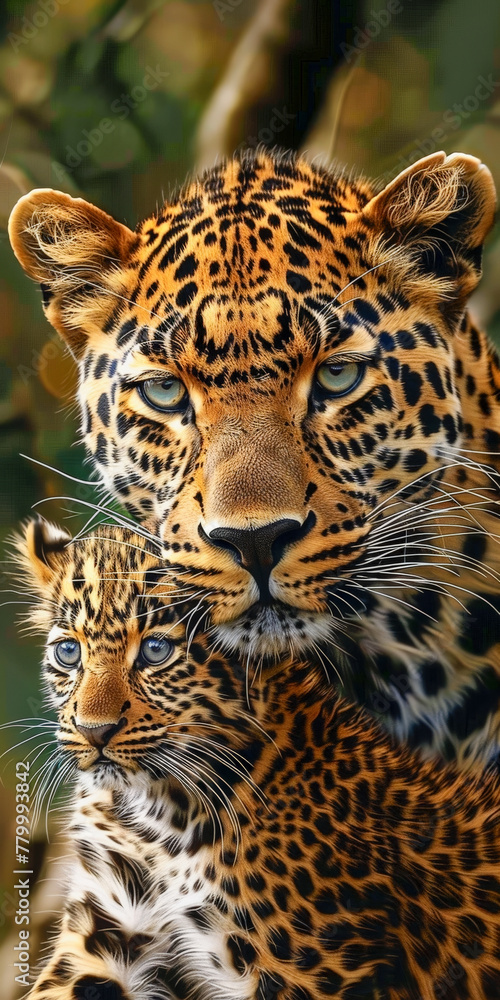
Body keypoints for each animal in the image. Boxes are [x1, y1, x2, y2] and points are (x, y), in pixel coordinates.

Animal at [13, 517, 500, 1000]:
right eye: (68, 652)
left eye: (156, 650)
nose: (94, 731)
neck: (156, 817)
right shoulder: (106, 927)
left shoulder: (315, 975)